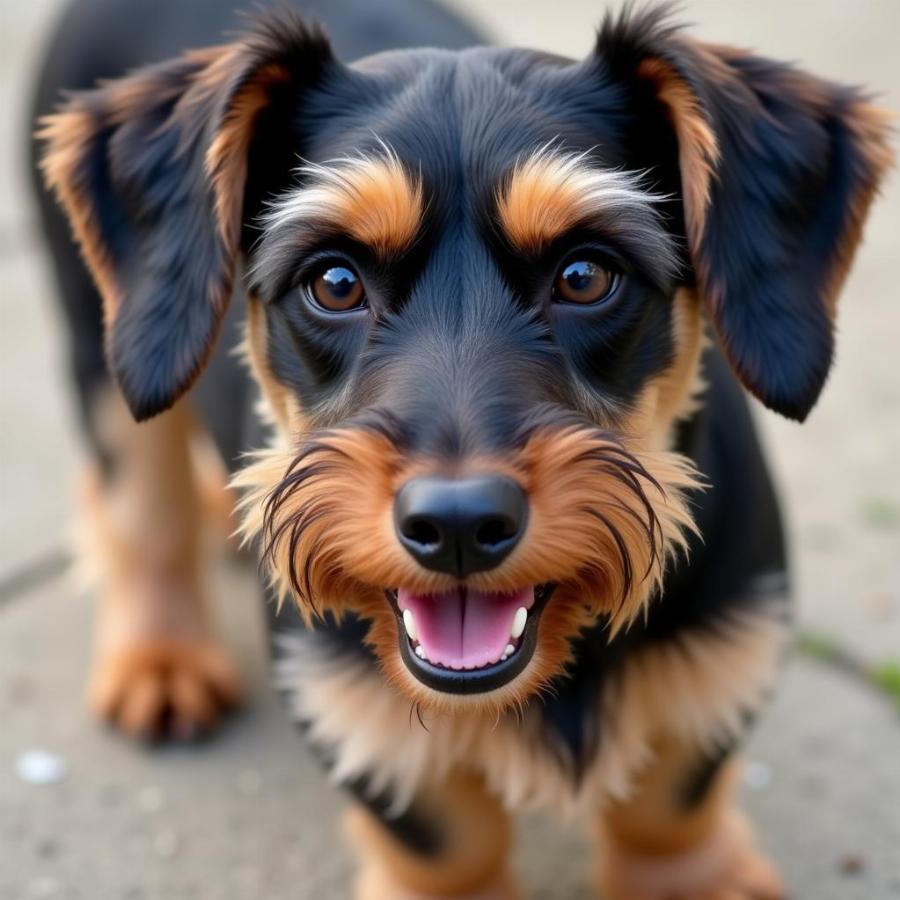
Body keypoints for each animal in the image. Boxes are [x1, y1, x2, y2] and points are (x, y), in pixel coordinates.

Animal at [31, 1, 888, 900]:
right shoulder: (353, 710)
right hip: (107, 357)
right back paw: (159, 658)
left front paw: (687, 879)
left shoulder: (727, 649)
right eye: (335, 283)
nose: (458, 526)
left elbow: (668, 799)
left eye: (586, 276)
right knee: (139, 507)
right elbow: (447, 842)